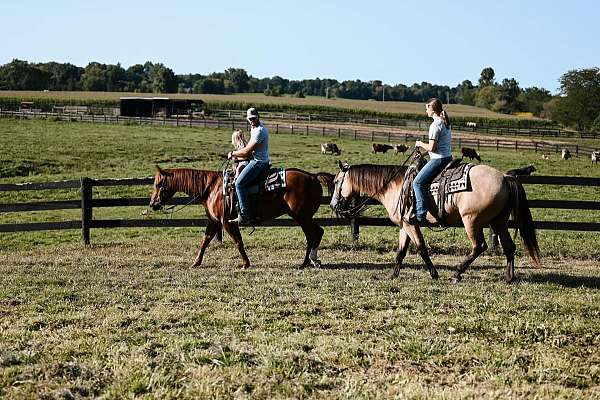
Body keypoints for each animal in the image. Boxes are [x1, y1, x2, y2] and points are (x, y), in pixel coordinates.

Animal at [146, 164, 332, 270]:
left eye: (158, 184)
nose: (153, 204)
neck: (211, 188)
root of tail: (313, 176)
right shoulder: (214, 221)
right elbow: (205, 240)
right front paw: (196, 262)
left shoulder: (227, 222)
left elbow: (238, 242)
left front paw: (245, 264)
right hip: (301, 217)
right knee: (312, 235)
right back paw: (307, 262)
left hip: (302, 216)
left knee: (316, 233)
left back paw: (310, 260)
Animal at [330, 161, 540, 282]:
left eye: (336, 182)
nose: (333, 205)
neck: (394, 186)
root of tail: (504, 177)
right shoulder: (405, 224)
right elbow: (401, 251)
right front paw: (393, 275)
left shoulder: (411, 224)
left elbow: (421, 248)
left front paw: (434, 274)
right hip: (498, 221)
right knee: (509, 247)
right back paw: (509, 277)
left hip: (472, 221)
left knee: (479, 246)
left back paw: (457, 274)